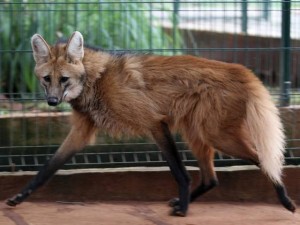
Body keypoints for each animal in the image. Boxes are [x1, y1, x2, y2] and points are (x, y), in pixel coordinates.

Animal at [6, 30, 296, 215]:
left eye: (64, 79)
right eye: (47, 79)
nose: (52, 101)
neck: (96, 79)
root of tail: (242, 70)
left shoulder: (154, 123)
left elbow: (179, 172)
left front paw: (185, 210)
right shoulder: (82, 132)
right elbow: (46, 170)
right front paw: (19, 197)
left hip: (216, 135)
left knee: (263, 159)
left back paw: (286, 201)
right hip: (198, 134)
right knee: (212, 179)